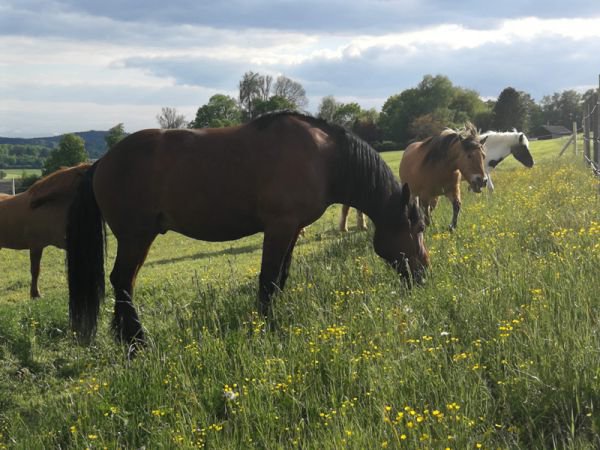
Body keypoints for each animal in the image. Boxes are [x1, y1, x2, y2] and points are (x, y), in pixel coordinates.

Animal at [66, 111, 430, 350]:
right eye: (418, 228)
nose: (424, 274)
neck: (323, 157)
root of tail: (101, 162)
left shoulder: (292, 229)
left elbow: (280, 277)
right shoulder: (279, 227)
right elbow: (267, 279)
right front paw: (267, 327)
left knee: (123, 283)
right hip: (136, 237)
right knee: (123, 281)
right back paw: (139, 342)